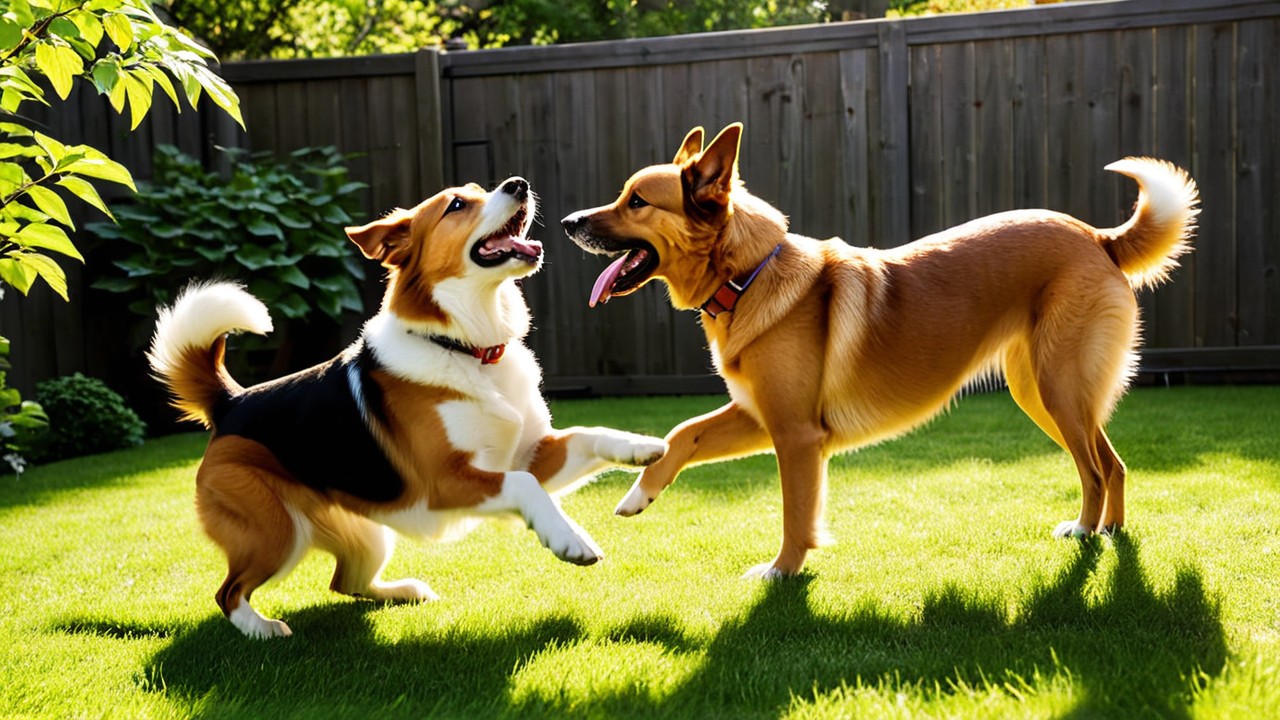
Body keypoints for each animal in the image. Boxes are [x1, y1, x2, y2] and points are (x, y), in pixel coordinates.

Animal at [151, 176, 665, 635]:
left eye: (480, 190)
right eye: (456, 205)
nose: (518, 183)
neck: (468, 348)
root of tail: (230, 402)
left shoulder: (530, 454)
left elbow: (588, 435)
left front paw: (642, 446)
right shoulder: (449, 482)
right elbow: (526, 487)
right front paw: (569, 539)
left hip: (368, 536)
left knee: (345, 582)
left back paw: (405, 592)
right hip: (275, 534)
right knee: (228, 592)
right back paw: (261, 629)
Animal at [563, 120, 1198, 573]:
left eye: (637, 201)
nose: (567, 221)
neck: (747, 275)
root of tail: (1097, 237)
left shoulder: (796, 435)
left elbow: (795, 513)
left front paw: (781, 573)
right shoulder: (759, 416)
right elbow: (682, 432)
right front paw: (638, 493)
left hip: (1058, 389)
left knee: (1093, 469)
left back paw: (1086, 532)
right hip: (1046, 394)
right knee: (1112, 463)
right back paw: (1110, 531)